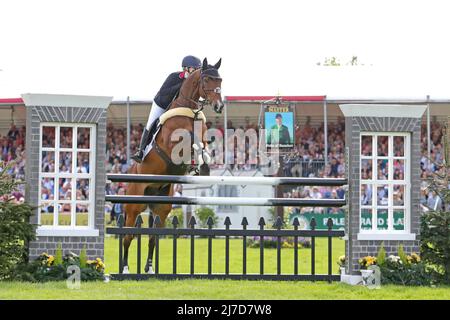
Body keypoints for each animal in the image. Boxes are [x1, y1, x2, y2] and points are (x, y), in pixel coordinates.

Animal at [121, 57, 223, 272]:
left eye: (220, 79)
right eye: (207, 79)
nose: (219, 106)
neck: (190, 111)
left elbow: (203, 142)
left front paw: (203, 164)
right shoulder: (171, 144)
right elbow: (191, 140)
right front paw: (197, 162)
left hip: (162, 207)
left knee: (153, 237)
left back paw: (149, 268)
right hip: (133, 205)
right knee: (127, 235)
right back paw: (125, 268)